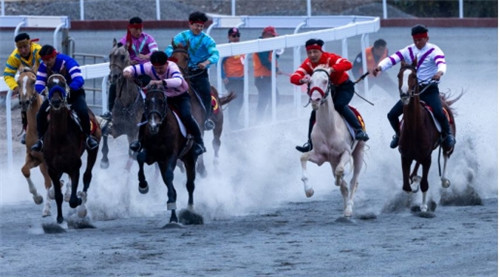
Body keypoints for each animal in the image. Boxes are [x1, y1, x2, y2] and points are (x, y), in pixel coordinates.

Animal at [42, 74, 102, 224]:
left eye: (63, 84)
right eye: (49, 84)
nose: (56, 101)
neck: (59, 138)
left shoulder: (75, 166)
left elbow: (74, 200)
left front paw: (78, 199)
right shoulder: (52, 168)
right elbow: (57, 194)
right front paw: (59, 218)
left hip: (93, 149)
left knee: (87, 175)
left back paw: (82, 205)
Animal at [99, 38, 143, 168]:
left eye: (123, 56)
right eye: (110, 55)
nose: (113, 76)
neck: (126, 104)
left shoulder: (135, 132)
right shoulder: (118, 128)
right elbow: (105, 132)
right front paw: (104, 160)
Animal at [170, 40, 236, 176]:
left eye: (186, 58)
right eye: (172, 57)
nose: (177, 74)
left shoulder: (198, 127)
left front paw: (202, 169)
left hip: (218, 123)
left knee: (216, 143)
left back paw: (215, 165)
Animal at [298, 65, 366, 218]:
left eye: (325, 81)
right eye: (310, 81)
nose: (315, 100)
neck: (329, 129)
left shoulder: (346, 152)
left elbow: (340, 172)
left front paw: (338, 179)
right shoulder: (320, 156)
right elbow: (303, 157)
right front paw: (309, 190)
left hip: (358, 152)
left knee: (354, 181)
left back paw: (349, 209)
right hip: (332, 160)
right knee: (345, 185)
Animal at [396, 59, 458, 211]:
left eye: (414, 76)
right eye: (399, 76)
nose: (405, 95)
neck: (414, 128)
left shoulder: (427, 158)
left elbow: (425, 184)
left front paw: (424, 206)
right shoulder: (405, 156)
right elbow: (406, 186)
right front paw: (413, 186)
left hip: (447, 144)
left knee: (446, 154)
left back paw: (444, 181)